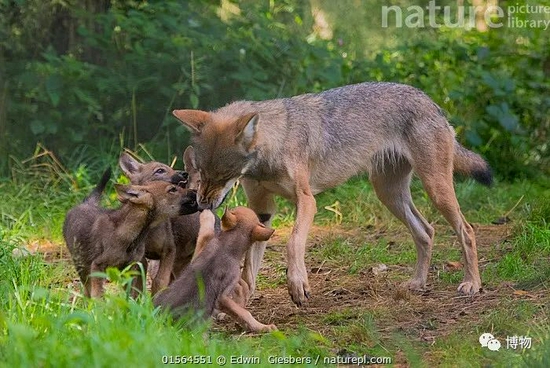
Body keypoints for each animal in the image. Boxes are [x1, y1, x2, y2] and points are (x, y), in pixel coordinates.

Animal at [64, 168, 199, 298]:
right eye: (172, 189)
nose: (195, 192)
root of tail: (85, 203)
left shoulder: (131, 266)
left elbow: (132, 293)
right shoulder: (97, 265)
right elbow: (98, 295)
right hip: (81, 266)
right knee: (87, 291)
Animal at [175, 82, 494, 306]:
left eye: (223, 176)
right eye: (201, 172)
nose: (202, 205)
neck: (273, 145)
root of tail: (430, 101)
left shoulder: (307, 201)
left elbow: (292, 243)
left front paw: (297, 285)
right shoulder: (262, 212)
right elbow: (249, 266)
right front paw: (241, 298)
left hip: (435, 190)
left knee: (466, 230)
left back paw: (472, 284)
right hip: (389, 195)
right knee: (426, 231)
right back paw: (417, 283)